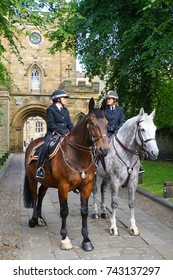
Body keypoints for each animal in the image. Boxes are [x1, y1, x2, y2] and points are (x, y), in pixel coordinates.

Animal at [23, 98, 108, 252]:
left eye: (106, 123)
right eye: (92, 123)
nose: (104, 149)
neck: (77, 155)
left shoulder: (87, 186)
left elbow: (84, 211)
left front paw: (86, 240)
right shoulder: (63, 186)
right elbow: (64, 211)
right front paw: (65, 239)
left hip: (47, 181)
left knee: (41, 194)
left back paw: (40, 218)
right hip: (32, 178)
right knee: (34, 196)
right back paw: (34, 219)